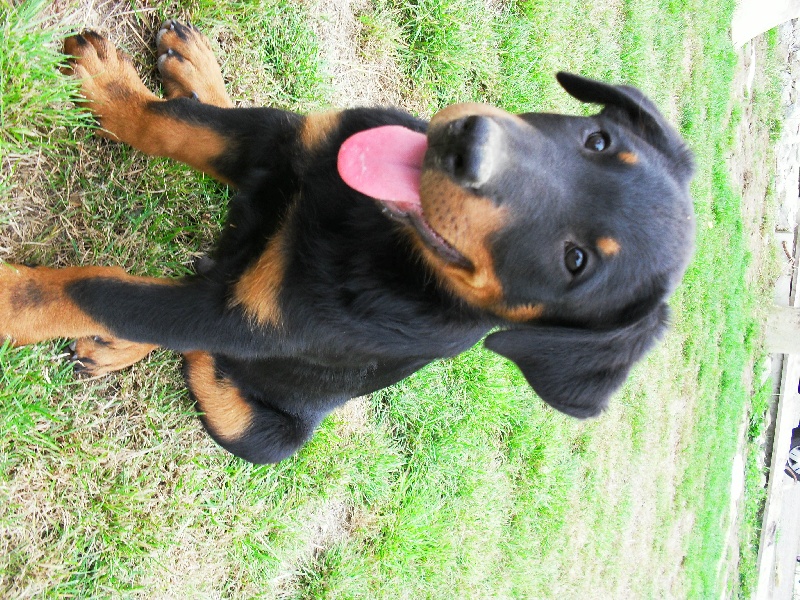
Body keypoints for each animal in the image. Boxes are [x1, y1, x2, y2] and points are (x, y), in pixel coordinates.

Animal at [0, 22, 695, 464]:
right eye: (597, 140)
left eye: (575, 262)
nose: (468, 145)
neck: (382, 240)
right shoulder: (292, 140)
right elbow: (175, 126)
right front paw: (111, 88)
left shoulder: (241, 322)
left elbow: (104, 292)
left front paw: (13, 299)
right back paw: (195, 71)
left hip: (267, 436)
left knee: (198, 354)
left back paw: (125, 343)